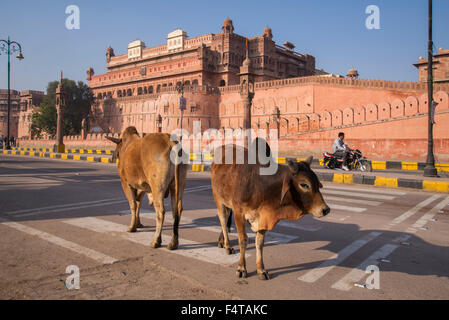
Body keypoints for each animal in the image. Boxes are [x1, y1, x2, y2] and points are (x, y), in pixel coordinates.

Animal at [210, 142, 328, 280]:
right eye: (304, 185)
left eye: (317, 183)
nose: (325, 209)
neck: (260, 184)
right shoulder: (239, 214)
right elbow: (243, 240)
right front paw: (241, 268)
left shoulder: (263, 217)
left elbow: (260, 243)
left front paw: (261, 269)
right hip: (219, 199)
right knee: (223, 221)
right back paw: (228, 246)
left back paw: (222, 241)